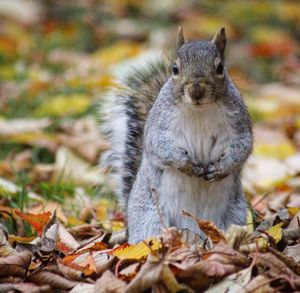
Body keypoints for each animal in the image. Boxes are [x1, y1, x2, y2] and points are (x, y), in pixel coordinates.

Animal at [101, 26, 253, 242]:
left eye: (220, 68)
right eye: (175, 69)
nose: (196, 91)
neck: (199, 111)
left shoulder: (239, 125)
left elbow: (243, 147)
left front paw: (222, 168)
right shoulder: (158, 125)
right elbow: (158, 146)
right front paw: (186, 164)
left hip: (234, 215)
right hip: (150, 218)